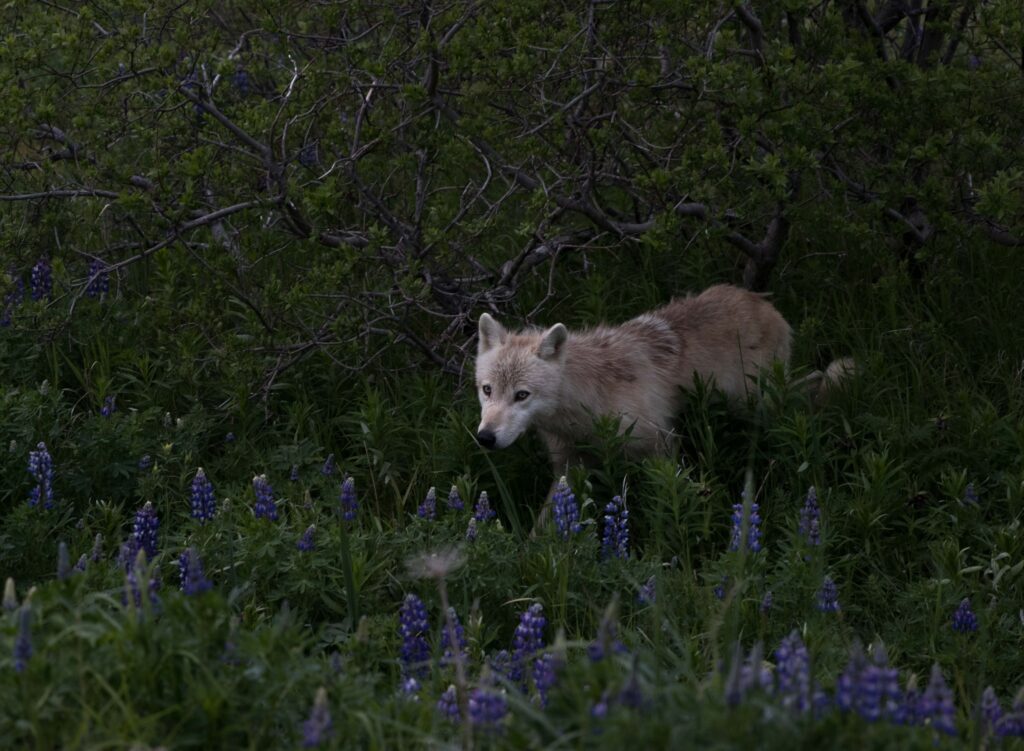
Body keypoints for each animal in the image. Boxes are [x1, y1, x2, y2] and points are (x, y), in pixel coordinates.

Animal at [474, 284, 847, 473]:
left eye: (522, 395)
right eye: (487, 390)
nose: (485, 438)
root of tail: (761, 300)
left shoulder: (661, 445)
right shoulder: (569, 465)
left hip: (753, 402)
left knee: (812, 383)